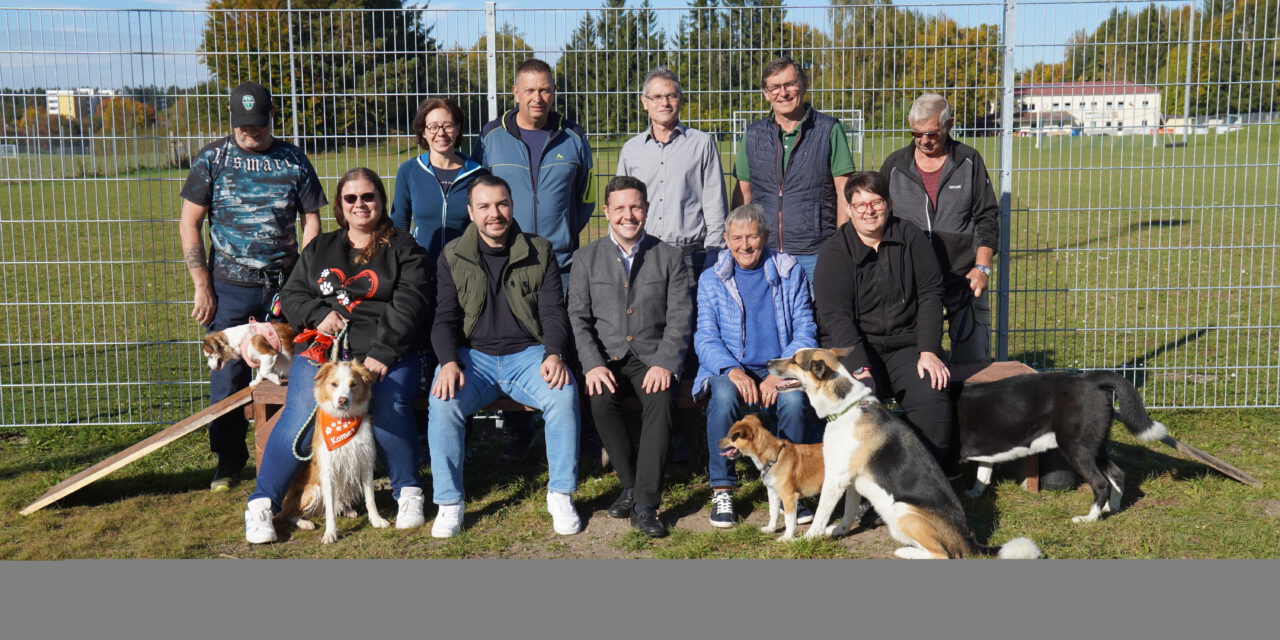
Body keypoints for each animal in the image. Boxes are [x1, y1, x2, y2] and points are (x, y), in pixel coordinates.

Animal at [275, 360, 384, 545]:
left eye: (353, 384)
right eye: (334, 384)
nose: (342, 400)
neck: (343, 420)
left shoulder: (365, 463)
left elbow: (370, 498)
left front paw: (376, 519)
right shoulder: (328, 471)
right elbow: (330, 511)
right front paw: (330, 533)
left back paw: (347, 510)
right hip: (313, 491)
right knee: (288, 514)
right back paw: (304, 523)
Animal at [762, 348, 1034, 558]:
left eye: (795, 360)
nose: (767, 363)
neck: (846, 408)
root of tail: (969, 541)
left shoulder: (836, 480)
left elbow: (820, 517)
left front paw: (805, 539)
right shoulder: (851, 482)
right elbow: (848, 513)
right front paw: (837, 531)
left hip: (902, 511)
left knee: (943, 555)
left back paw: (905, 552)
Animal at [962, 373, 1172, 522]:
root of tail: (1089, 378)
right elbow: (982, 474)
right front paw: (973, 494)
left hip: (1075, 450)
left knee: (1100, 483)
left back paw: (1088, 519)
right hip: (1095, 448)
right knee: (1117, 474)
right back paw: (1110, 508)